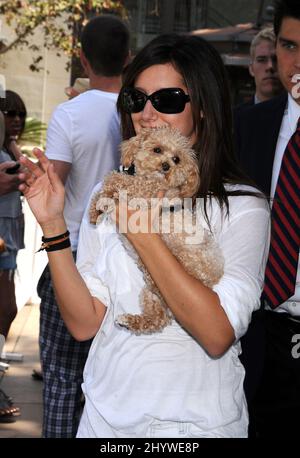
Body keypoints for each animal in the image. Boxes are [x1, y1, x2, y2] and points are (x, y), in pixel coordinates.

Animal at [89, 127, 223, 334]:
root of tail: (214, 277)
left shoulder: (143, 192)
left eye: (177, 159)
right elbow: (106, 190)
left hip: (179, 263)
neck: (154, 181)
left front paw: (106, 196)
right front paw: (95, 211)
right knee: (157, 319)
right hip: (149, 295)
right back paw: (128, 321)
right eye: (157, 150)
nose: (166, 166)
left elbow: (116, 178)